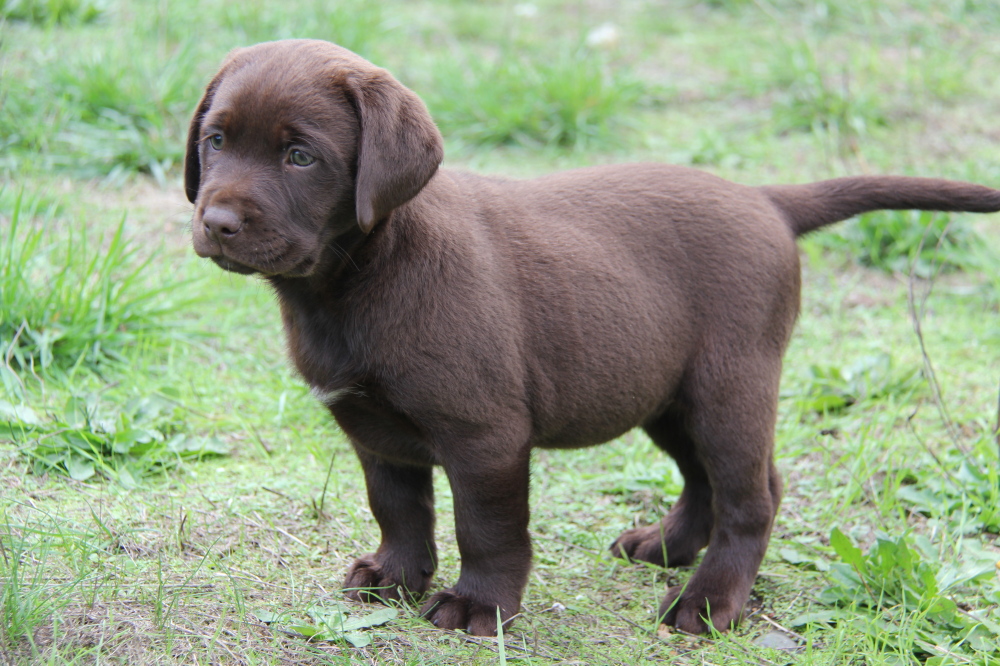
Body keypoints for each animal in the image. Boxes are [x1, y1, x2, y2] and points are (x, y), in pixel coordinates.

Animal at [186, 40, 1000, 632]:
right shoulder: (375, 431)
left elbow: (487, 526)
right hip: (662, 390)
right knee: (708, 477)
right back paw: (665, 547)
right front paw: (394, 578)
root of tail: (766, 200)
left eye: (300, 156)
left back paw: (709, 602)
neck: (355, 278)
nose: (215, 222)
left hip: (728, 383)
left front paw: (479, 606)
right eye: (217, 140)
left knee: (752, 495)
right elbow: (398, 509)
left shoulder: (484, 434)